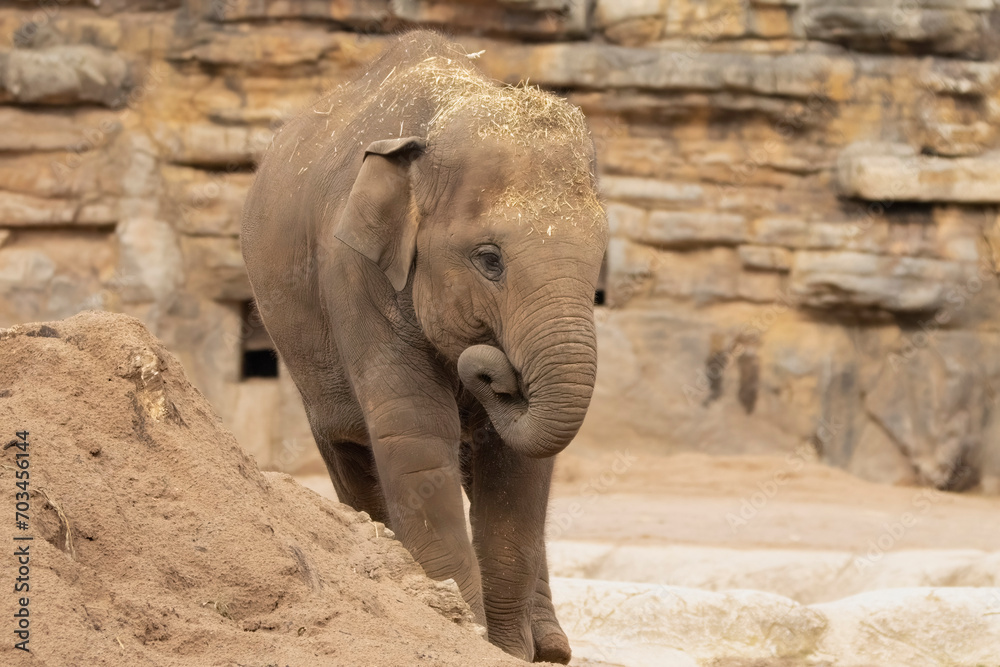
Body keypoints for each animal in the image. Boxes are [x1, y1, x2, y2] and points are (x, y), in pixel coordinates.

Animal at [241, 30, 608, 663]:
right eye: (489, 259)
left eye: (601, 259)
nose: (494, 371)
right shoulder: (353, 273)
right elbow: (415, 435)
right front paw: (463, 631)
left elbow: (516, 466)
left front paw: (508, 649)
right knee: (349, 452)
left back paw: (553, 647)